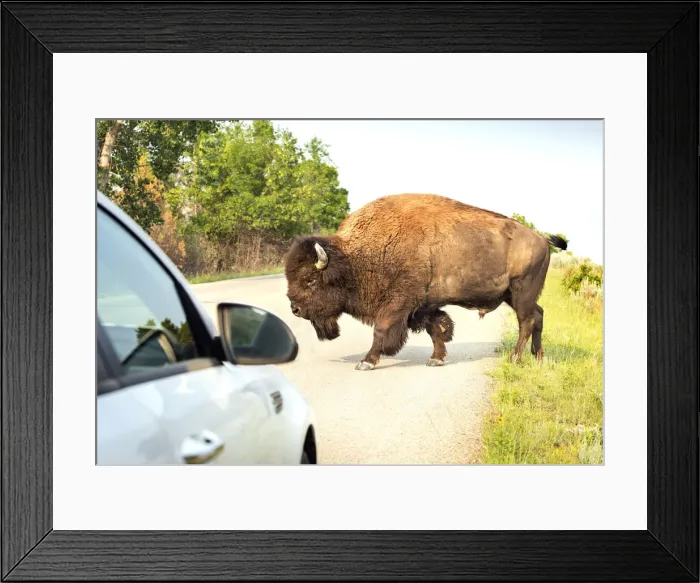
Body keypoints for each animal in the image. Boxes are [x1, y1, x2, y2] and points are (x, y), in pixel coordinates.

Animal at [284, 193, 567, 371]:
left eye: (310, 280)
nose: (294, 309)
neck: (355, 259)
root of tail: (542, 238)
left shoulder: (399, 303)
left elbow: (381, 330)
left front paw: (366, 362)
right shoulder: (424, 306)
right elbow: (437, 329)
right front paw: (436, 359)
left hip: (521, 292)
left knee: (527, 321)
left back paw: (515, 358)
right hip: (515, 295)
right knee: (538, 316)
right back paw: (538, 357)